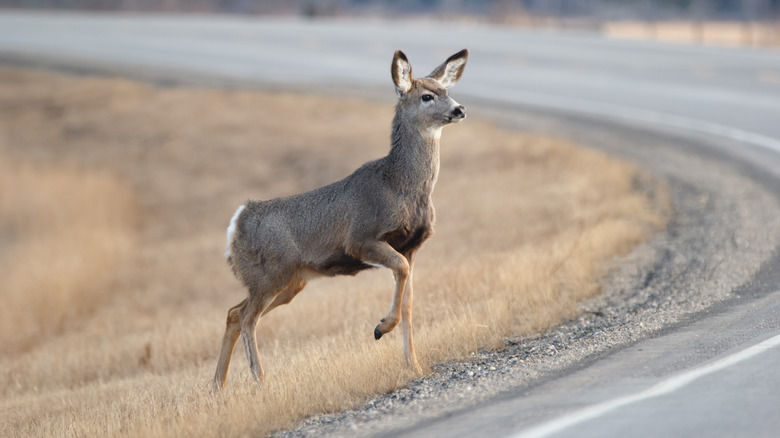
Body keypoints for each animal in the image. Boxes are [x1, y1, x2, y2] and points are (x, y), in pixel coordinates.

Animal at [213, 48, 469, 389]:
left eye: (446, 90)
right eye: (427, 96)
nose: (459, 109)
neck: (400, 186)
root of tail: (236, 223)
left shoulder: (412, 247)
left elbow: (409, 303)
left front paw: (414, 365)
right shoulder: (362, 239)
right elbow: (399, 274)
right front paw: (381, 327)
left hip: (290, 281)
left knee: (233, 312)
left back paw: (217, 387)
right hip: (270, 274)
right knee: (247, 318)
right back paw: (261, 380)